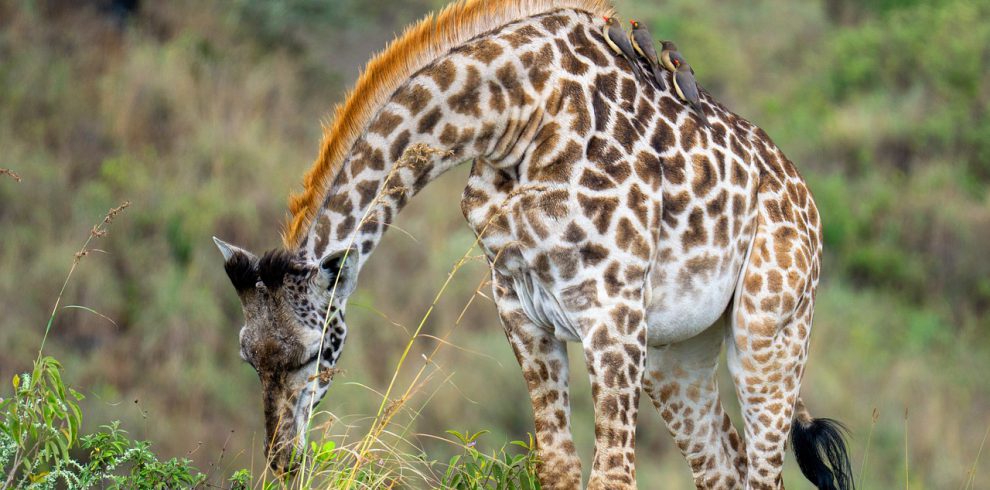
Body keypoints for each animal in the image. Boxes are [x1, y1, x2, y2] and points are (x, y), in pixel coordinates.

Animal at [213, 1, 856, 488]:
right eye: (248, 358)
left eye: (311, 354)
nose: (282, 462)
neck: (512, 114)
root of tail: (808, 203)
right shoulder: (522, 313)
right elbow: (558, 467)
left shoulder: (611, 316)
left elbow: (612, 476)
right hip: (676, 353)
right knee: (723, 467)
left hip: (768, 331)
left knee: (763, 471)